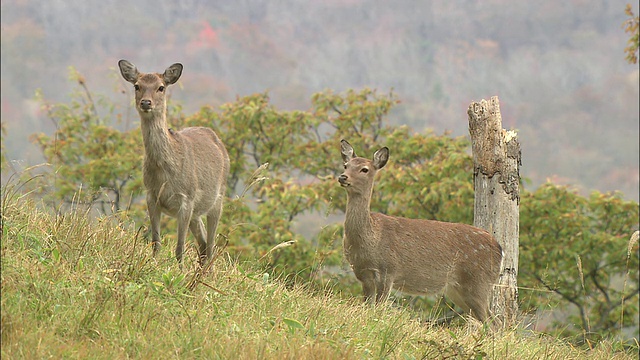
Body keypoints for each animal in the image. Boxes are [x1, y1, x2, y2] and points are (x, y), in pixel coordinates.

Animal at [119, 60, 231, 266]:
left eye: (161, 87)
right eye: (137, 86)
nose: (145, 102)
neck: (164, 173)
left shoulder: (186, 198)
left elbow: (179, 248)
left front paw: (179, 269)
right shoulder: (151, 196)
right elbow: (156, 242)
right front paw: (153, 265)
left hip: (217, 199)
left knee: (211, 245)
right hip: (197, 212)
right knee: (203, 243)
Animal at [338, 139, 502, 322]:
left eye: (364, 169)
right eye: (346, 165)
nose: (343, 177)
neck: (370, 239)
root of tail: (500, 249)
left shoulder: (388, 271)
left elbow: (378, 310)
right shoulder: (363, 275)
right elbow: (367, 308)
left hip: (479, 282)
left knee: (494, 321)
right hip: (458, 290)